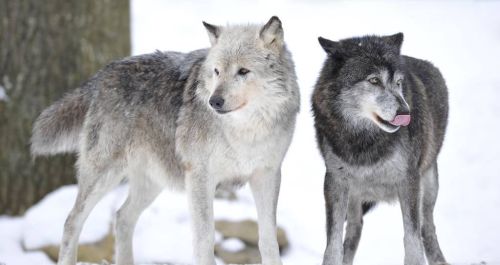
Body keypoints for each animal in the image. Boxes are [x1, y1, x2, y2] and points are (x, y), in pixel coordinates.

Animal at [31, 16, 298, 264]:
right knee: (71, 221)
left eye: (243, 71)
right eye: (216, 71)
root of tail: (102, 74)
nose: (214, 101)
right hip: (104, 176)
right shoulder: (200, 178)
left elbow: (268, 239)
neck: (245, 133)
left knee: (122, 218)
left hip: (152, 183)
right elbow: (205, 240)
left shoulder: (267, 176)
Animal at [312, 33, 450, 264]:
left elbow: (413, 241)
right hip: (355, 194)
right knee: (354, 230)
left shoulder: (409, 180)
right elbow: (333, 245)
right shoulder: (335, 181)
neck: (365, 139)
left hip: (429, 186)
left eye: (399, 82)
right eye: (374, 80)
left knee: (427, 229)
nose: (405, 113)